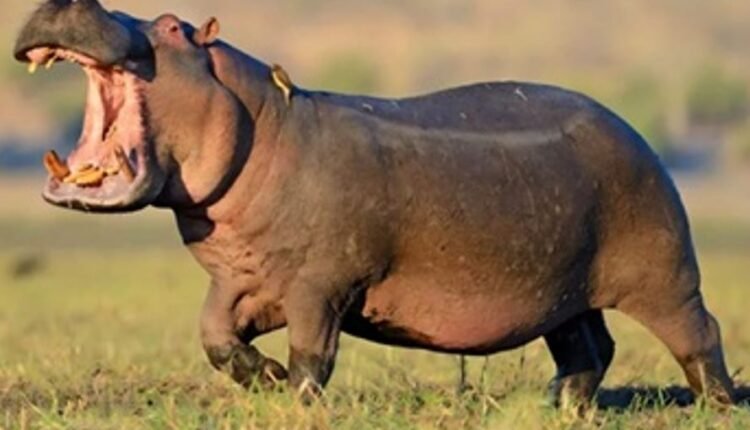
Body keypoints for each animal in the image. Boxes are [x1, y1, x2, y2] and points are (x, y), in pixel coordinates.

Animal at [14, 0, 735, 406]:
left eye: (170, 25)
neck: (262, 119)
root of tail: (633, 129)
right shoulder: (240, 280)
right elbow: (215, 337)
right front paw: (264, 379)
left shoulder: (319, 284)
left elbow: (314, 353)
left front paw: (296, 400)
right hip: (563, 288)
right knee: (588, 345)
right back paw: (559, 404)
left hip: (665, 271)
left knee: (700, 332)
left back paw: (717, 404)